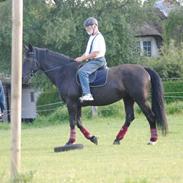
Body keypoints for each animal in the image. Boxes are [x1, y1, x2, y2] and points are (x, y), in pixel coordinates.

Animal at [22, 44, 168, 146]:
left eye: (28, 59)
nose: (23, 78)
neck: (64, 72)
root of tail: (143, 68)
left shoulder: (71, 103)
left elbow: (72, 122)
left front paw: (70, 141)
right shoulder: (77, 105)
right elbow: (79, 123)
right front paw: (93, 138)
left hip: (140, 99)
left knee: (151, 116)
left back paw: (152, 139)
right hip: (128, 99)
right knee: (129, 117)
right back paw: (117, 139)